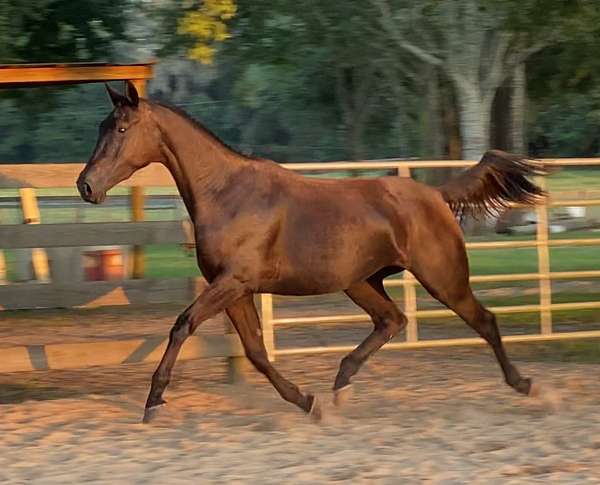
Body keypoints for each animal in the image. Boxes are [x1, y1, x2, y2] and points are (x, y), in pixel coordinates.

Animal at [77, 81, 548, 422]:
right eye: (100, 128)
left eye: (121, 129)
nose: (85, 186)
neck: (227, 194)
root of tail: (434, 194)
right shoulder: (235, 289)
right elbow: (256, 352)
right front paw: (308, 401)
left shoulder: (232, 282)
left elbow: (182, 325)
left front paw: (153, 402)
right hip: (361, 282)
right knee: (392, 321)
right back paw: (340, 385)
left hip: (442, 277)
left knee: (483, 321)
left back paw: (528, 386)